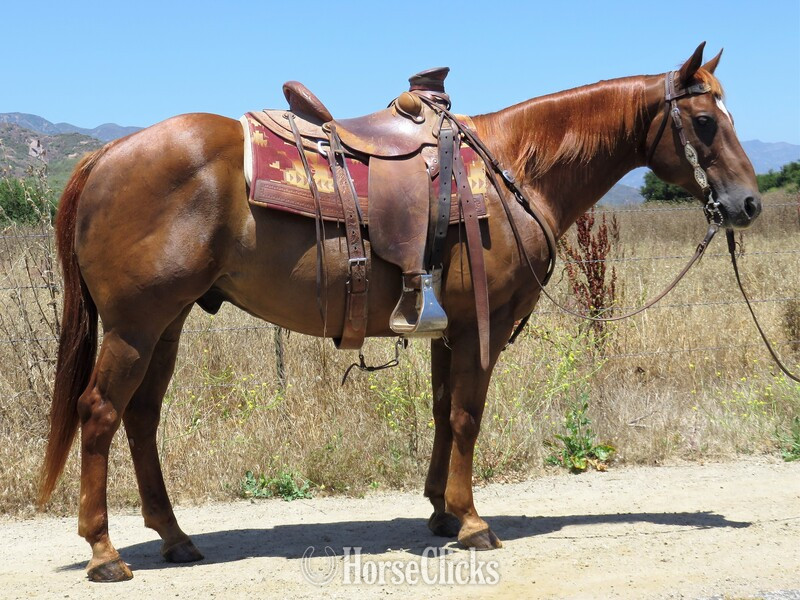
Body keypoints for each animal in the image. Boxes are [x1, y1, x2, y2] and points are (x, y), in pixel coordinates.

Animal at [38, 42, 760, 581]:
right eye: (705, 121)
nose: (747, 204)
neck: (514, 169)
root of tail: (105, 154)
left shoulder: (449, 331)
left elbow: (443, 414)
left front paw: (441, 512)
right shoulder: (479, 328)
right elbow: (468, 417)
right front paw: (472, 522)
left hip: (168, 322)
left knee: (141, 417)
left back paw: (175, 537)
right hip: (135, 326)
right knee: (100, 414)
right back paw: (104, 552)